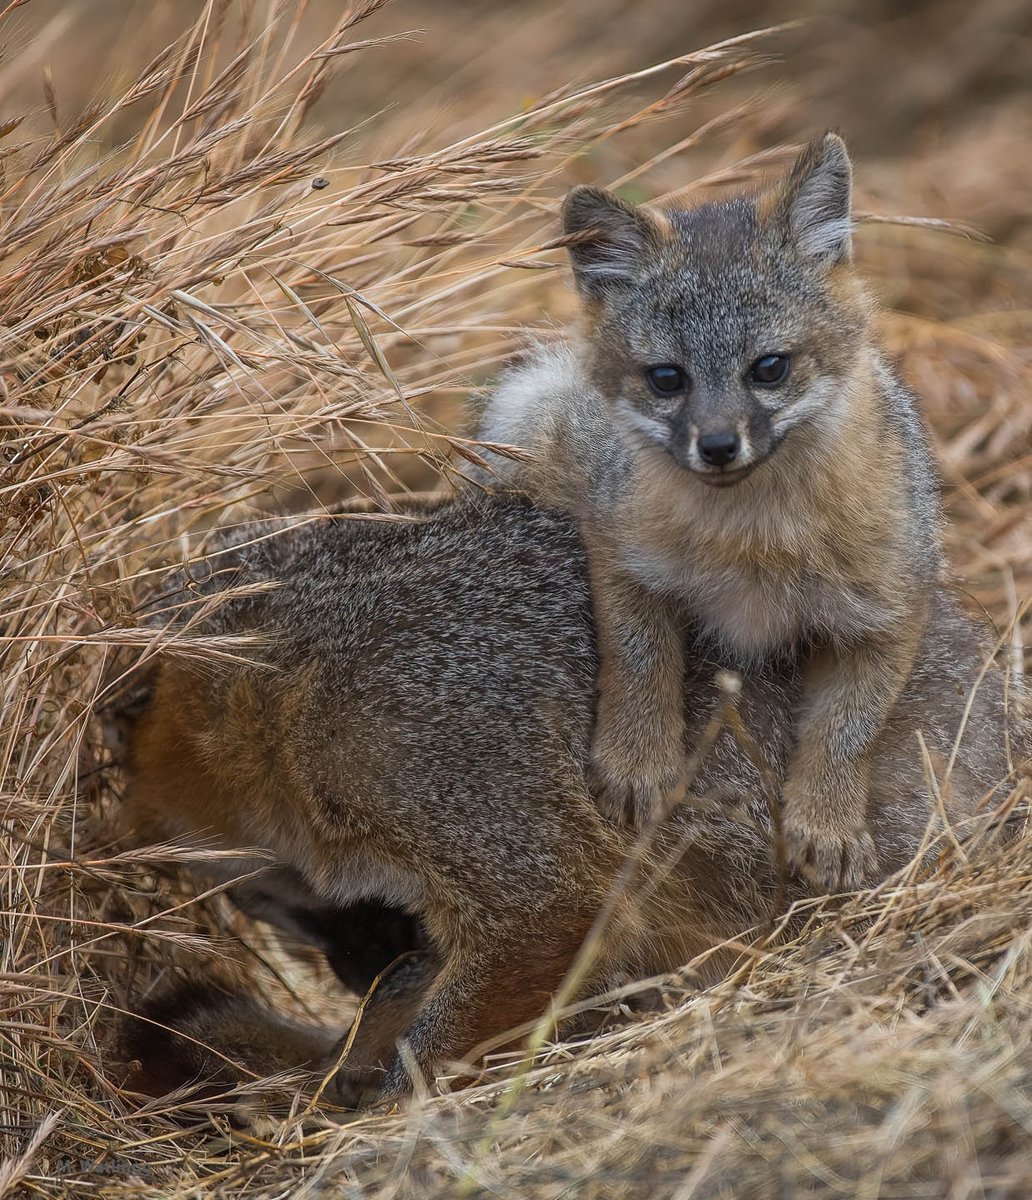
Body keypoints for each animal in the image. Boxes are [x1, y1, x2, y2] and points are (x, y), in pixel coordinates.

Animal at [111, 491, 1024, 1108]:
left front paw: (383, 1105)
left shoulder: (507, 856)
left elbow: (462, 1008)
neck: (297, 691)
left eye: (281, 894)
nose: (356, 972)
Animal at [476, 132, 947, 892]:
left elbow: (849, 730)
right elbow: (639, 665)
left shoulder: (892, 611)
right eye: (668, 378)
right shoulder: (621, 556)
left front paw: (828, 822)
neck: (751, 542)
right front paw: (637, 763)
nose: (719, 446)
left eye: (769, 368)